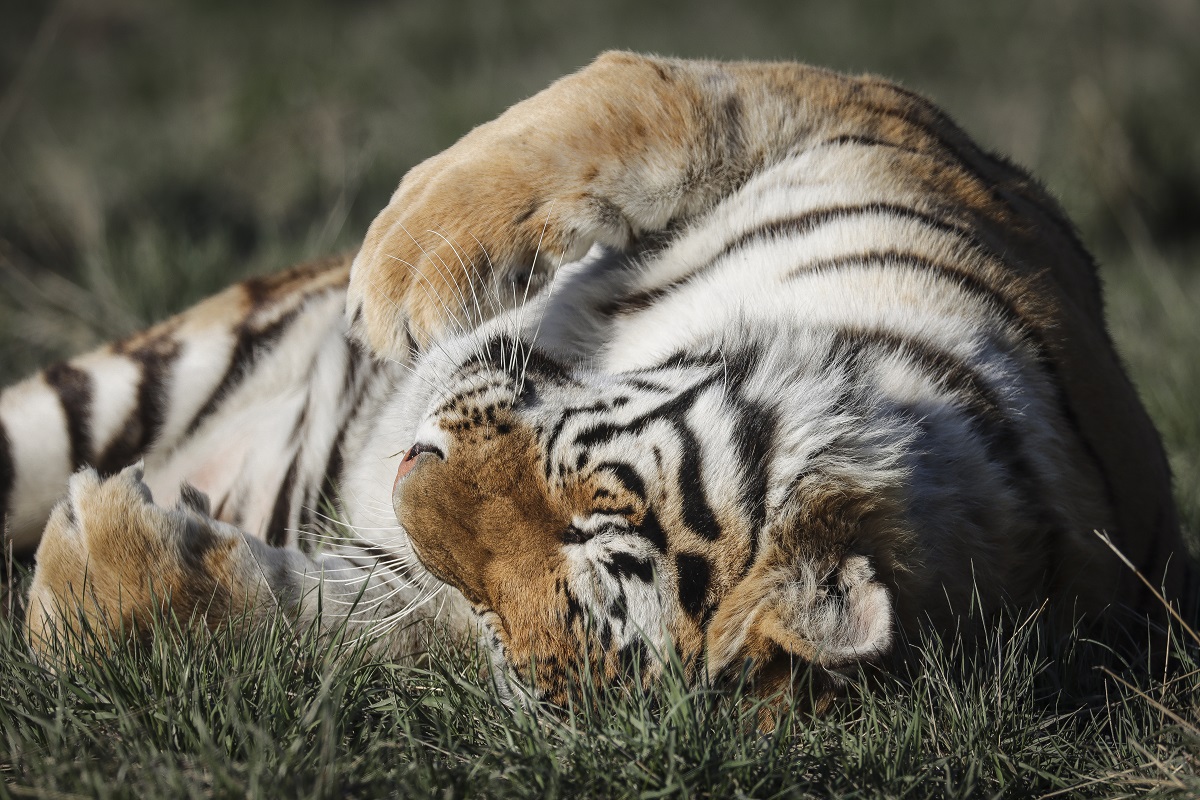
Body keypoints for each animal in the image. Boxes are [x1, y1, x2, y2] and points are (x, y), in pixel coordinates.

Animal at [0, 53, 1185, 710]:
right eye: (592, 507)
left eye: (500, 617)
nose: (405, 477)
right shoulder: (858, 117)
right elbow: (633, 99)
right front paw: (407, 268)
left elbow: (312, 616)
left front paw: (87, 580)